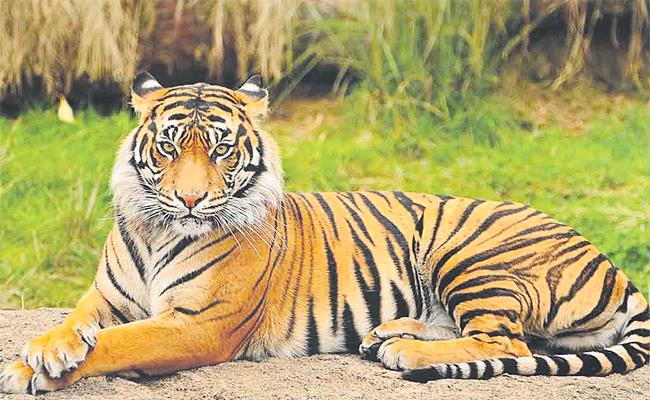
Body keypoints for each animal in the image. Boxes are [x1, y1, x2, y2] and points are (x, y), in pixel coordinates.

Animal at [0, 72, 648, 394]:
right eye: (168, 146)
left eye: (221, 149)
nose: (189, 199)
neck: (159, 230)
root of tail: (614, 266)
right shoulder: (106, 297)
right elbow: (78, 323)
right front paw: (45, 348)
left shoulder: (198, 325)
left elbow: (118, 344)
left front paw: (34, 369)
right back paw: (388, 335)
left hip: (468, 252)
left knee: (507, 344)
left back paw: (406, 352)